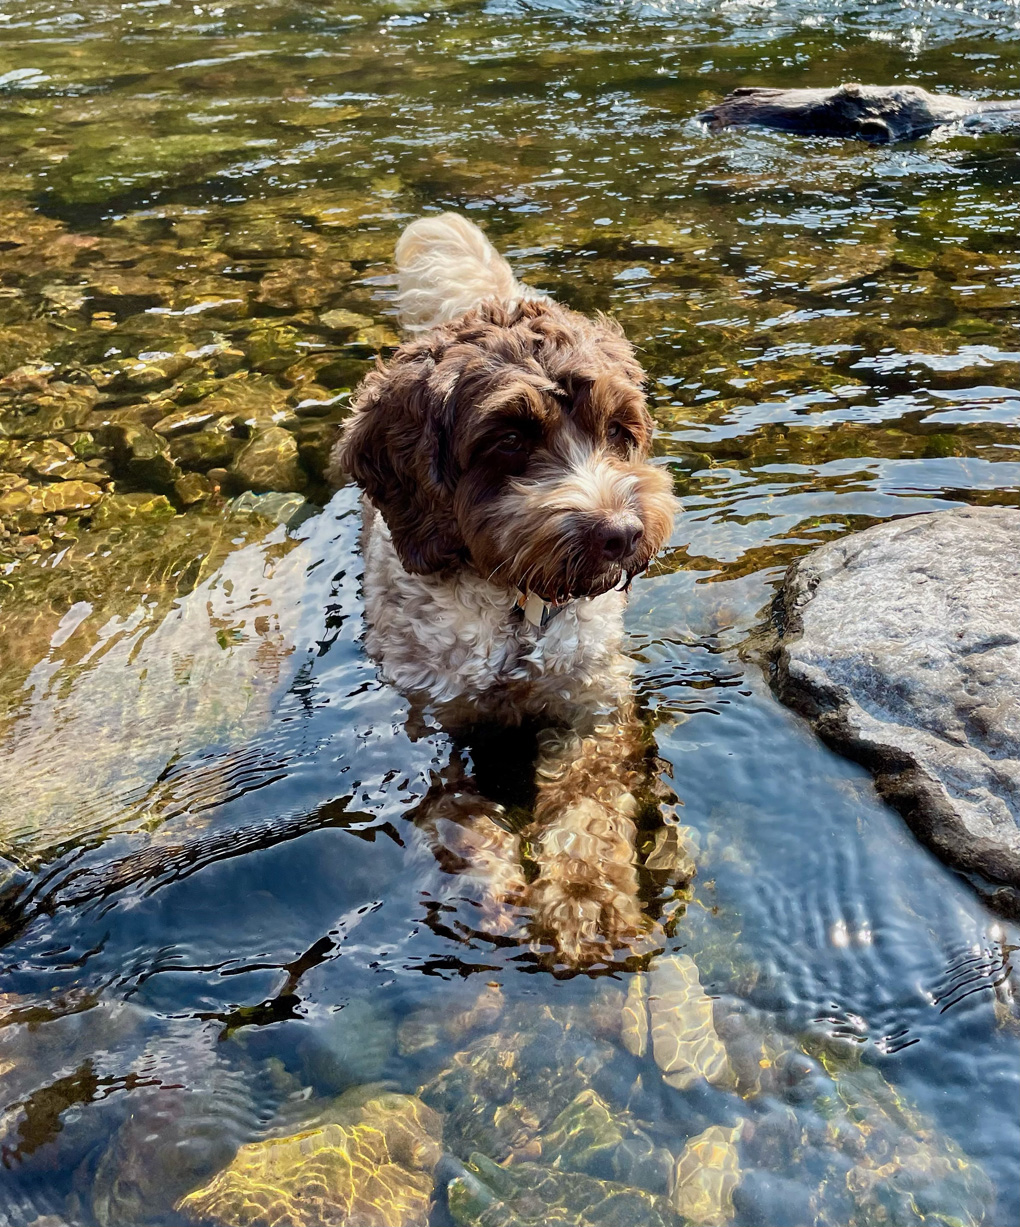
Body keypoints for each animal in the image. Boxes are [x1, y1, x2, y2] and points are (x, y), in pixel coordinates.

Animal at [328, 218, 677, 966]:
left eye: (619, 430)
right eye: (511, 438)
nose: (621, 533)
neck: (517, 612)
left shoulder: (590, 705)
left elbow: (588, 805)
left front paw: (587, 901)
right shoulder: (432, 717)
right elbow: (459, 811)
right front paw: (488, 890)